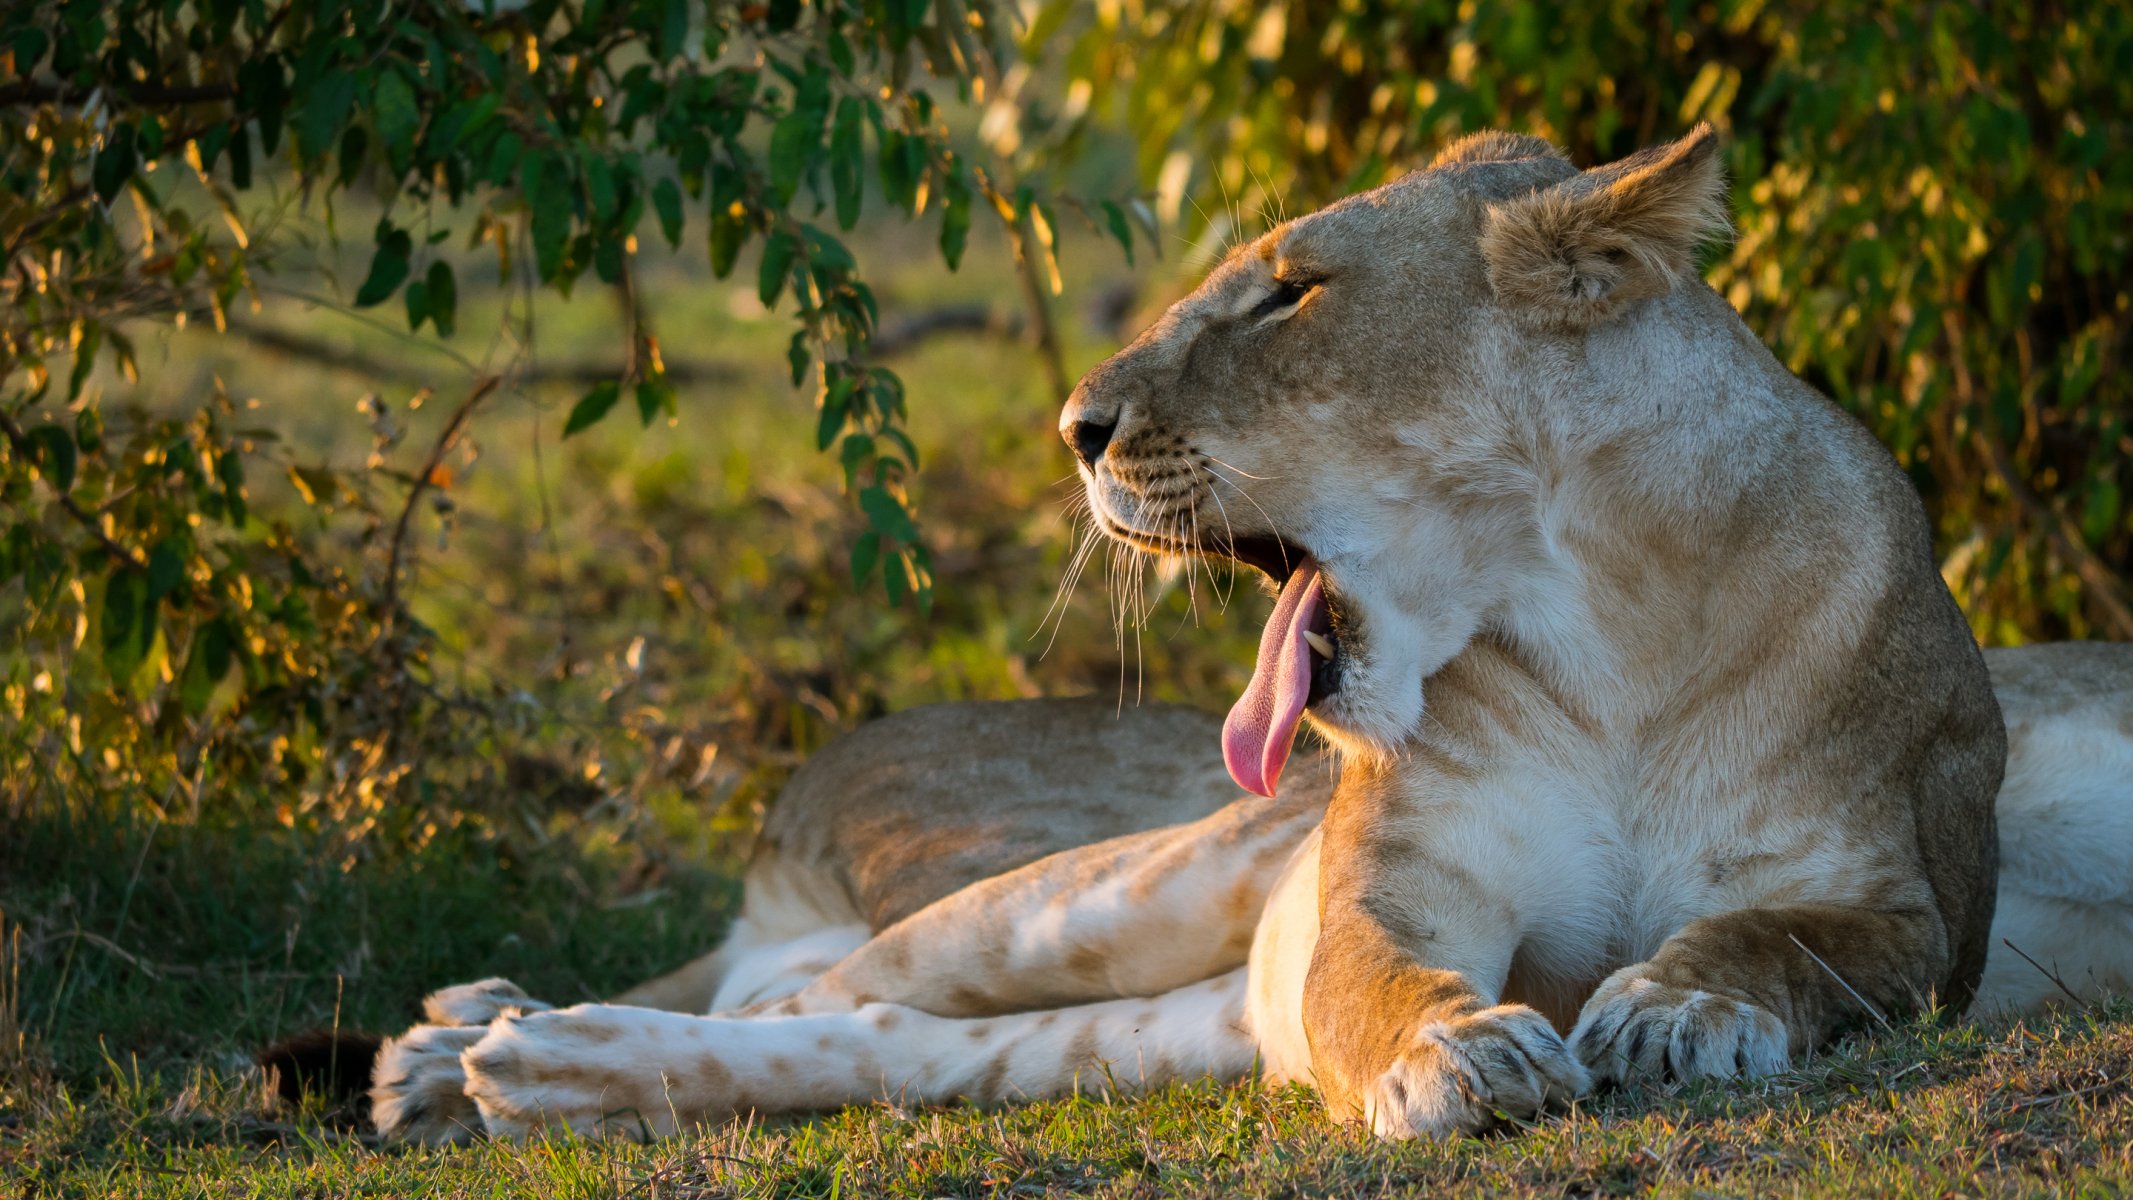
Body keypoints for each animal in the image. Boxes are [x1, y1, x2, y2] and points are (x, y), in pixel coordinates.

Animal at [359, 126, 2133, 1144]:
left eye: (1288, 293)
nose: (1073, 426)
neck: (1602, 631)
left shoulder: (1904, 899)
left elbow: (1780, 944)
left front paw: (1675, 1011)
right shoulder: (1384, 884)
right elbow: (1380, 980)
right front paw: (1463, 1056)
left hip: (1131, 1024)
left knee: (874, 1045)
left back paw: (525, 1072)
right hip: (1114, 890)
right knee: (817, 991)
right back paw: (467, 1048)